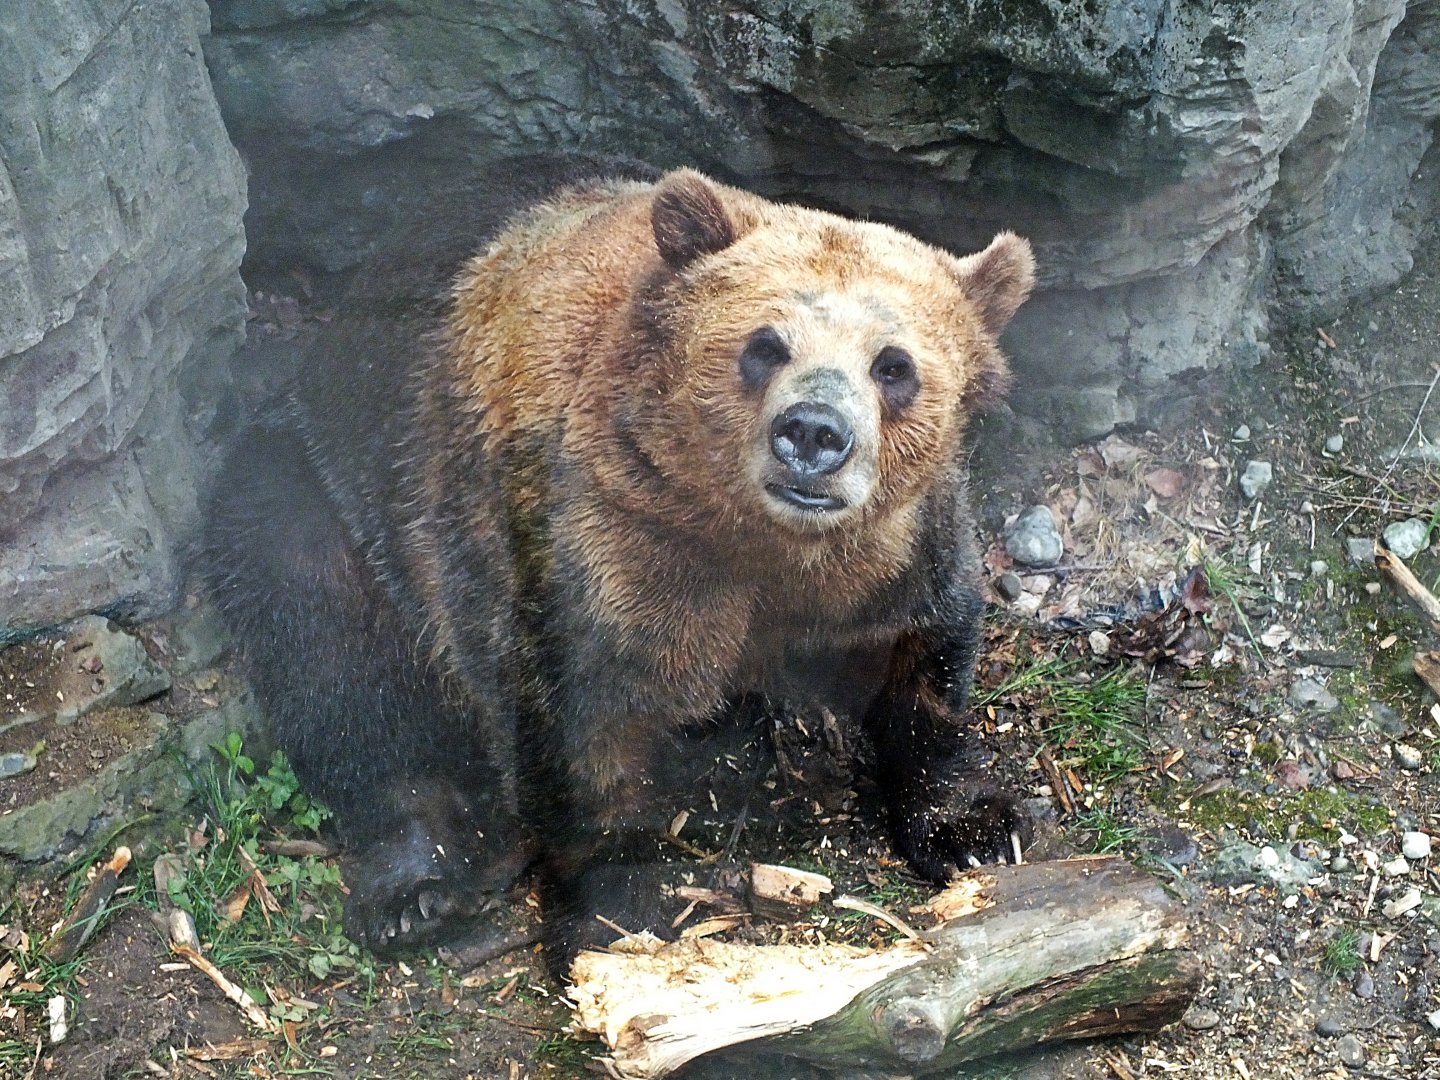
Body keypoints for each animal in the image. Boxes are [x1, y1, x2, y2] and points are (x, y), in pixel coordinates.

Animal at [201, 167, 1035, 968]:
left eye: (894, 365)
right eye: (765, 345)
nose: (813, 432)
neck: (758, 544)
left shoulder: (890, 555)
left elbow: (922, 658)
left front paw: (975, 829)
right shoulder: (600, 544)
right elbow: (580, 727)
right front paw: (615, 918)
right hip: (331, 482)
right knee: (326, 647)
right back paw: (416, 884)